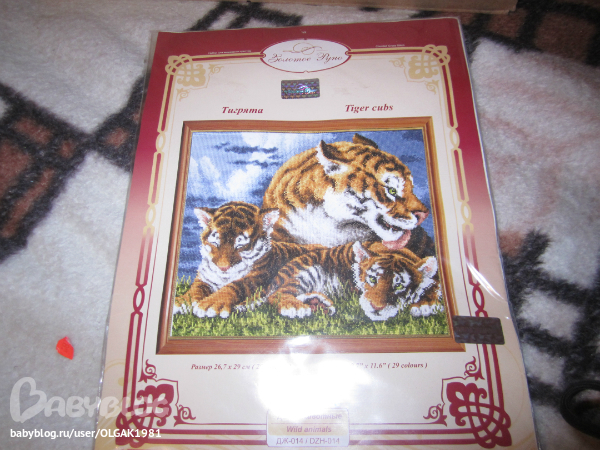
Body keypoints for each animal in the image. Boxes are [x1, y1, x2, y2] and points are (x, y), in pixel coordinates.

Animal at [173, 201, 322, 319]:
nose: (223, 267)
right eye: (215, 242)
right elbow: (195, 288)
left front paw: (210, 304)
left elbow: (235, 286)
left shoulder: (256, 277)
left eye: (240, 244)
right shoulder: (204, 277)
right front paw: (181, 302)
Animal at [265, 241, 443, 321]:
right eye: (372, 279)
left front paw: (425, 305)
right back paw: (295, 307)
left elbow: (434, 285)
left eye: (398, 285)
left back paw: (318, 304)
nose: (376, 308)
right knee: (277, 294)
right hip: (308, 272)